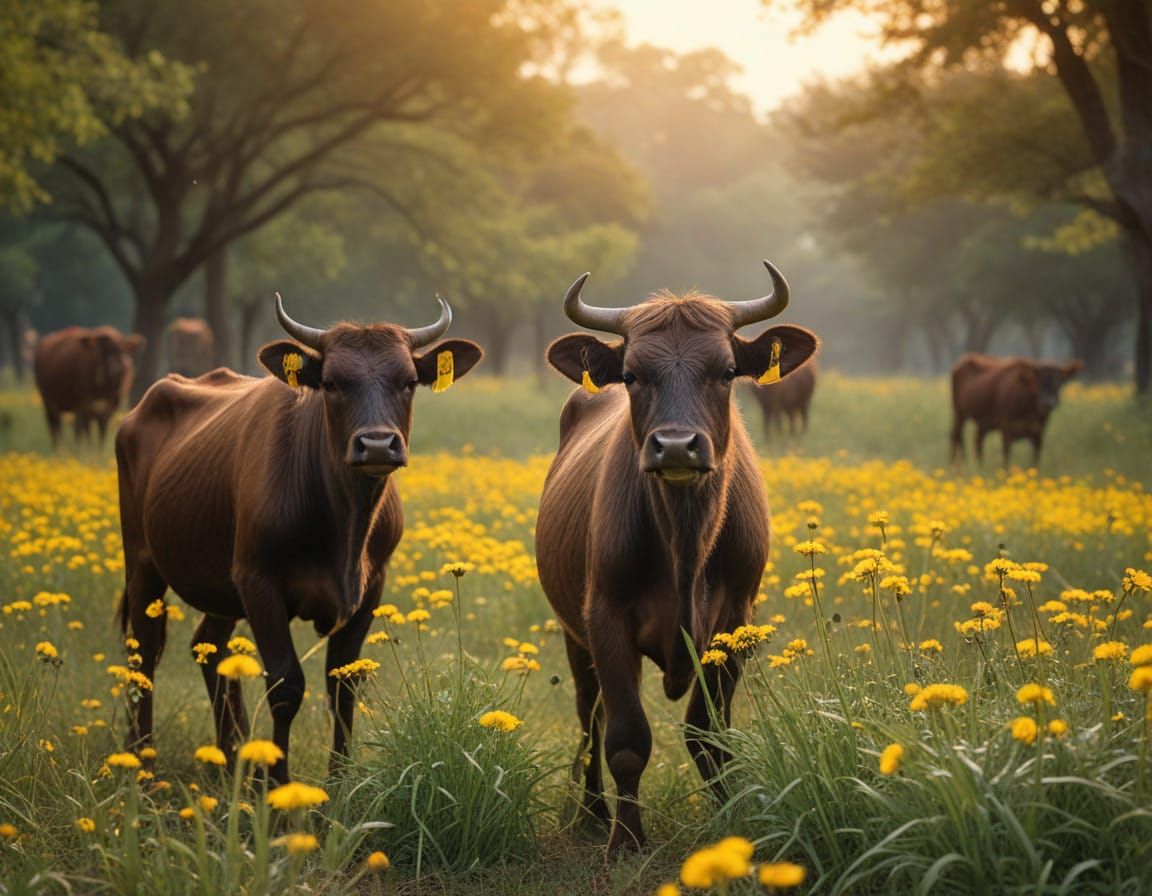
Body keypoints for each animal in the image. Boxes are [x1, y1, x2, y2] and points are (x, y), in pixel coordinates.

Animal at [115, 295, 482, 781]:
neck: (345, 527)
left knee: (207, 646)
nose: (378, 445)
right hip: (142, 562)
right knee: (144, 651)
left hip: (220, 586)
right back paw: (141, 758)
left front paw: (338, 784)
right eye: (330, 383)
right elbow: (286, 684)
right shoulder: (259, 582)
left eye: (408, 382)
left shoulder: (371, 586)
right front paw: (276, 782)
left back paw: (231, 755)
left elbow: (343, 682)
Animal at [535, 262, 818, 853]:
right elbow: (625, 738)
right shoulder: (605, 616)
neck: (686, 543)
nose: (676, 446)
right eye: (632, 375)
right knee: (589, 716)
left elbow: (709, 734)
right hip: (574, 634)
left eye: (727, 371)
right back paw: (592, 813)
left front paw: (731, 816)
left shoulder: (734, 619)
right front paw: (626, 838)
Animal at [950, 353, 1082, 468]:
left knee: (977, 440)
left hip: (983, 422)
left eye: (1059, 382)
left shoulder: (1038, 433)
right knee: (956, 436)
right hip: (959, 413)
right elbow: (1006, 457)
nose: (1049, 403)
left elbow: (1035, 460)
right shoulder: (1006, 429)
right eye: (1039, 382)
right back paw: (957, 466)